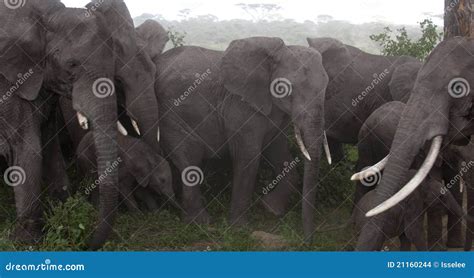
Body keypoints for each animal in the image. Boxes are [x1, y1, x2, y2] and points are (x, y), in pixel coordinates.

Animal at [0, 0, 161, 248]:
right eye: (72, 64)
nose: (88, 243)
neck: (46, 15)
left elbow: (48, 145)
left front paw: (66, 211)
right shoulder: (9, 86)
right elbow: (27, 148)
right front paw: (27, 242)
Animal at [144, 34, 330, 239]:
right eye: (288, 88)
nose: (307, 240)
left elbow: (278, 151)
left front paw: (270, 209)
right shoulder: (240, 107)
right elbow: (248, 157)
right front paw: (239, 229)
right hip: (170, 116)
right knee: (190, 159)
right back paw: (199, 223)